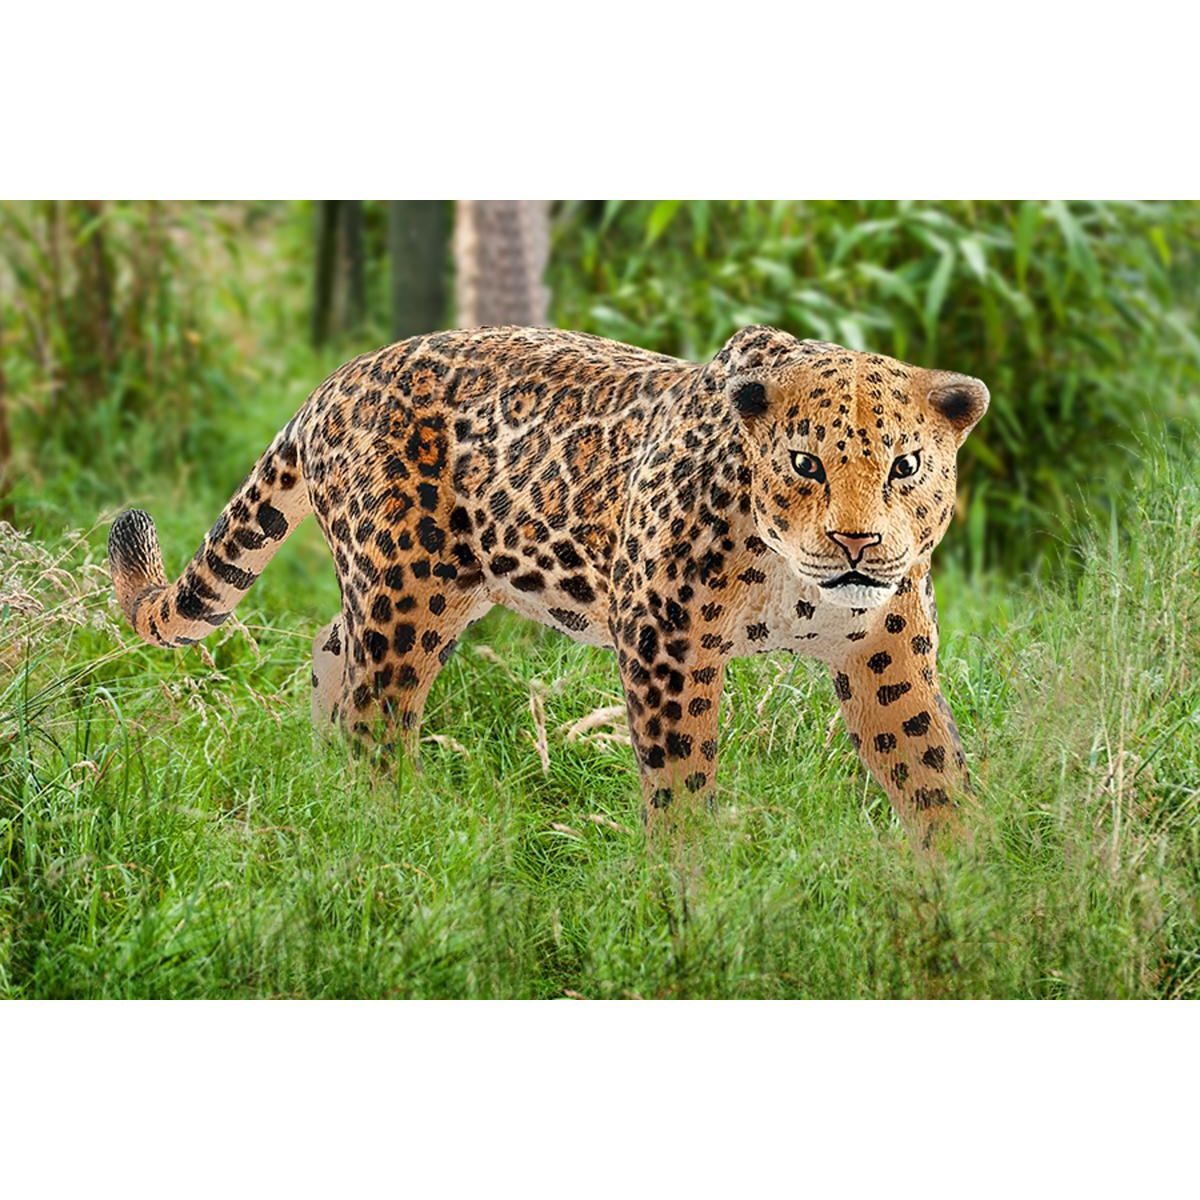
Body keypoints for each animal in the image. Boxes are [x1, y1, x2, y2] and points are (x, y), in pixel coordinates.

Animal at [108, 324, 989, 850]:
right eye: (805, 464)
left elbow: (929, 763)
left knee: (334, 652)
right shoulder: (666, 643)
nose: (857, 543)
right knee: (376, 715)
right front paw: (692, 886)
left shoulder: (887, 653)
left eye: (906, 466)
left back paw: (327, 790)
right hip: (408, 592)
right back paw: (389, 835)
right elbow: (680, 776)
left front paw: (967, 879)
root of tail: (332, 385)